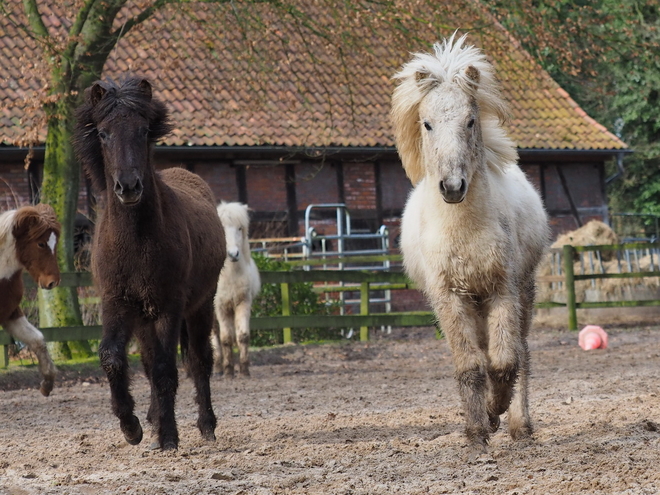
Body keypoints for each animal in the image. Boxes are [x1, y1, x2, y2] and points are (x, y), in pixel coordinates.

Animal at [74, 76, 226, 450]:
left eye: (143, 131)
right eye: (103, 133)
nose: (128, 186)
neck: (136, 241)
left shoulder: (169, 306)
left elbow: (165, 369)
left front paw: (169, 436)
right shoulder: (115, 303)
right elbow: (112, 358)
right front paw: (132, 427)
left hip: (200, 305)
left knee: (199, 360)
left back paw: (206, 425)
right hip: (143, 317)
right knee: (147, 360)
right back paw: (153, 419)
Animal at [214, 202, 260, 376]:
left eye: (240, 228)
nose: (233, 254)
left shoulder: (243, 303)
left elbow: (242, 336)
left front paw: (244, 369)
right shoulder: (220, 306)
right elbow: (226, 339)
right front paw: (228, 371)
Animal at [392, 33, 548, 452]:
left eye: (471, 120)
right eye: (427, 124)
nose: (452, 187)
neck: (464, 231)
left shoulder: (503, 289)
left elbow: (504, 361)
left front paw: (497, 413)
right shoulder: (450, 297)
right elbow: (471, 366)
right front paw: (478, 430)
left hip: (523, 291)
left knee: (522, 353)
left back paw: (519, 425)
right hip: (473, 304)